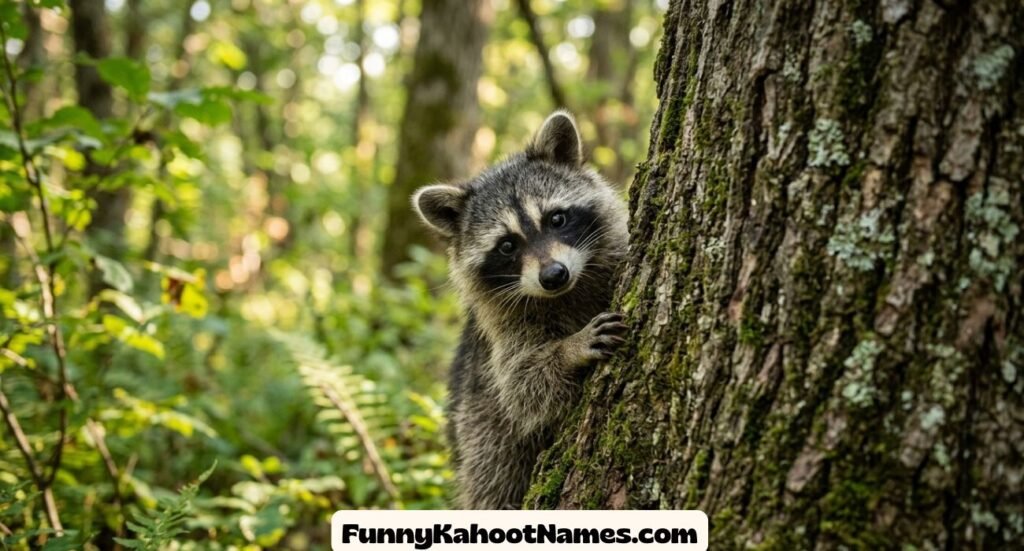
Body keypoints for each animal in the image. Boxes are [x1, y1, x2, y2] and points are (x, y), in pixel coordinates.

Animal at [412, 111, 629, 509]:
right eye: (507, 245)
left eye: (556, 219)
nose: (554, 276)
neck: (567, 293)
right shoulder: (503, 328)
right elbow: (523, 386)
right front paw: (569, 350)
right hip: (480, 429)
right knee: (494, 477)